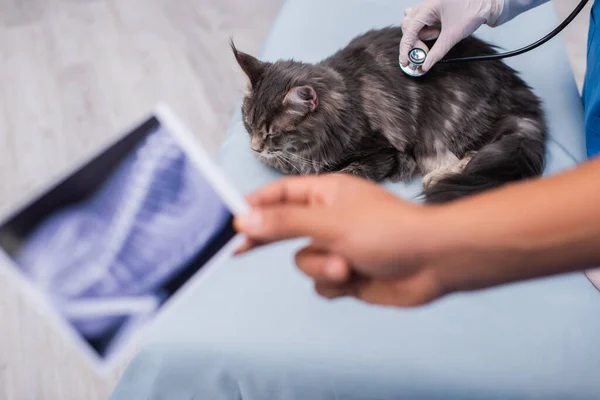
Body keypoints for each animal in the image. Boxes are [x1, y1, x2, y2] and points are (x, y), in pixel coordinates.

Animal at [231, 27, 548, 203]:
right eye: (248, 125)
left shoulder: (382, 153)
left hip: (446, 128)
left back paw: (436, 179)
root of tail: (517, 88)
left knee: (475, 155)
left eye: (273, 133)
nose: (254, 147)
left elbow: (345, 175)